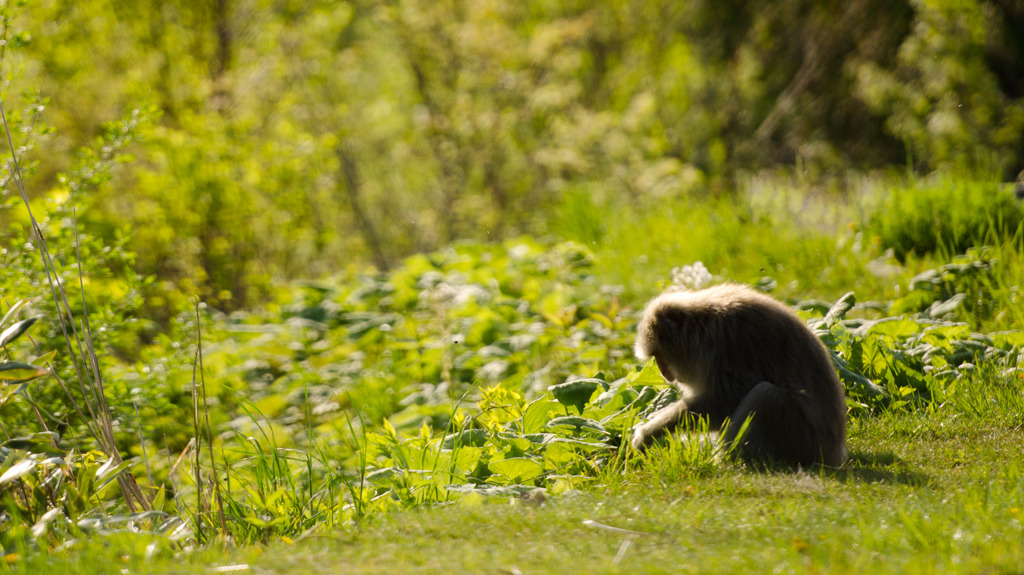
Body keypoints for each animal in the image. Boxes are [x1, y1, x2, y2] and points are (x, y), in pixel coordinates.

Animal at [630, 282, 847, 466]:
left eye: (659, 355)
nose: (665, 374)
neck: (701, 326)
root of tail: (834, 453)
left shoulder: (725, 344)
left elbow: (723, 402)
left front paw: (648, 432)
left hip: (800, 440)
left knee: (765, 395)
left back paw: (726, 460)